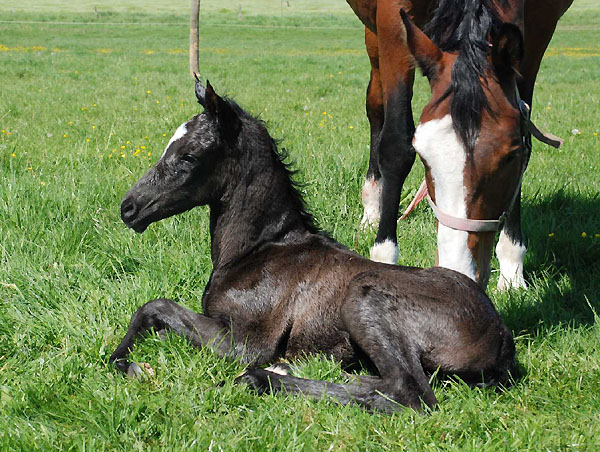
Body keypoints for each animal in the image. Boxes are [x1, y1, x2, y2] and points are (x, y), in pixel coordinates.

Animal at [109, 81, 516, 414]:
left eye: (189, 157)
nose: (129, 208)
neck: (259, 250)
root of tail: (500, 334)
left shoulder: (247, 343)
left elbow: (154, 306)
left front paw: (131, 366)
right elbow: (153, 318)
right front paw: (128, 362)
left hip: (363, 295)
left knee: (408, 393)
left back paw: (264, 377)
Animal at [344, 0, 568, 290]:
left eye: (511, 156)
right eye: (423, 157)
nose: (457, 272)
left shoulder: (540, 26)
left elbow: (526, 128)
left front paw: (512, 267)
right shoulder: (391, 20)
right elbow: (396, 146)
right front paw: (385, 258)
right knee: (376, 107)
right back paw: (372, 206)